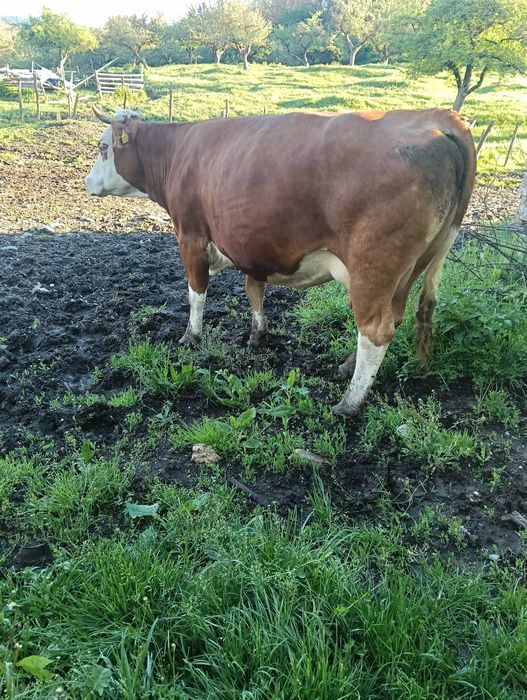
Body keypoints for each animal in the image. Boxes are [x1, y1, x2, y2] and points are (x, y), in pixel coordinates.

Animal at [85, 107, 475, 416]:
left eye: (103, 148)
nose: (87, 183)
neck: (177, 150)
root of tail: (440, 118)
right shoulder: (252, 245)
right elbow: (253, 290)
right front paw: (258, 335)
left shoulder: (191, 237)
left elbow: (196, 293)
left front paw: (190, 336)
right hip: (409, 269)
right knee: (391, 319)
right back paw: (346, 368)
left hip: (374, 266)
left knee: (375, 330)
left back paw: (349, 402)